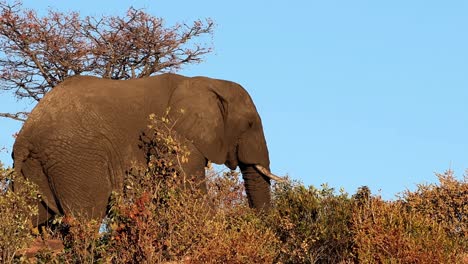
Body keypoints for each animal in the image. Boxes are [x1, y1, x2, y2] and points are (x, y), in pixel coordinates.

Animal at [11, 73, 282, 226]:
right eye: (249, 124)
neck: (207, 82)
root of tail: (26, 135)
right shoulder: (174, 136)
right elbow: (190, 196)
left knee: (32, 218)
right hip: (75, 159)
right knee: (86, 219)